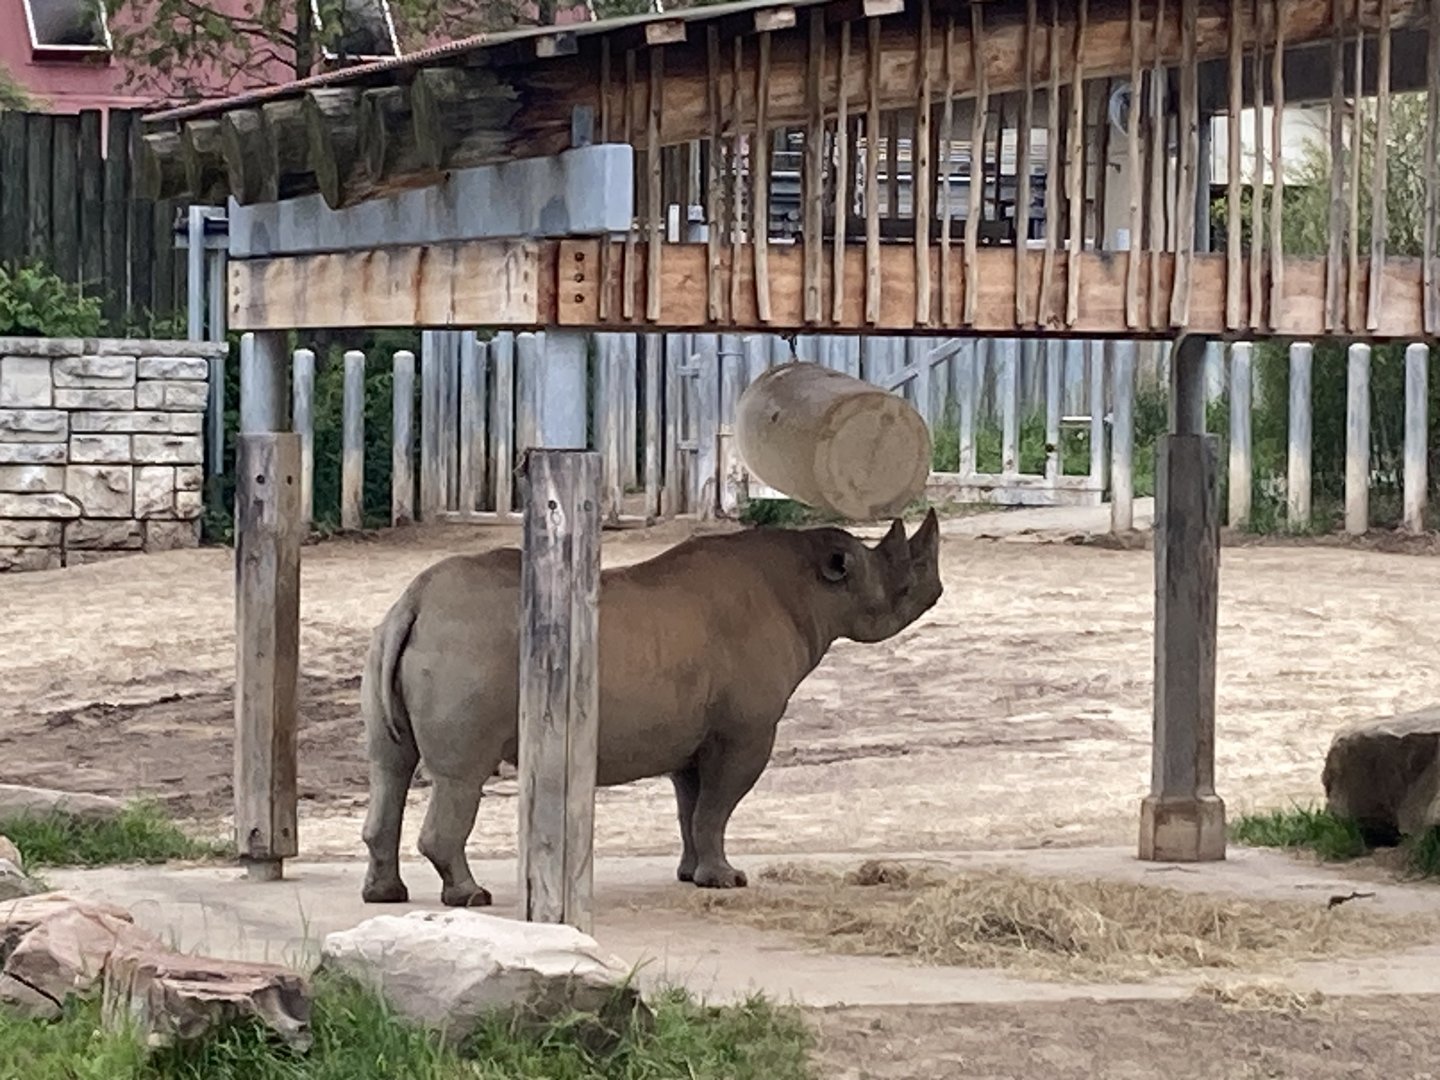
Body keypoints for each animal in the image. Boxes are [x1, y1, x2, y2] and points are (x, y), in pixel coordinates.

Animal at [359, 509, 943, 907]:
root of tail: (416, 601)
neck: (811, 585)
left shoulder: (693, 733)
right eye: (901, 582)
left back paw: (386, 895)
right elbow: (720, 803)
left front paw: (692, 875)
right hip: (468, 647)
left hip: (396, 637)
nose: (936, 590)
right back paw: (471, 896)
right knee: (462, 776)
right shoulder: (747, 731)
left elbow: (693, 806)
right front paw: (727, 881)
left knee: (390, 766)